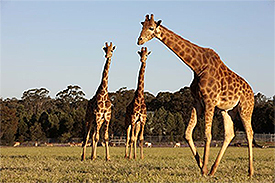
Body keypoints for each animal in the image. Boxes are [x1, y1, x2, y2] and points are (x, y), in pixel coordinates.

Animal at [138, 13, 256, 177]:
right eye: (141, 25)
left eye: (150, 27)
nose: (139, 40)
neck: (197, 66)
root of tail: (252, 93)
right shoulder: (197, 102)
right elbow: (188, 133)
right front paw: (201, 165)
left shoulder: (209, 101)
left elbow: (207, 135)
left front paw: (204, 168)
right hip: (227, 110)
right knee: (229, 134)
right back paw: (213, 169)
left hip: (245, 109)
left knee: (249, 133)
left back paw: (250, 171)